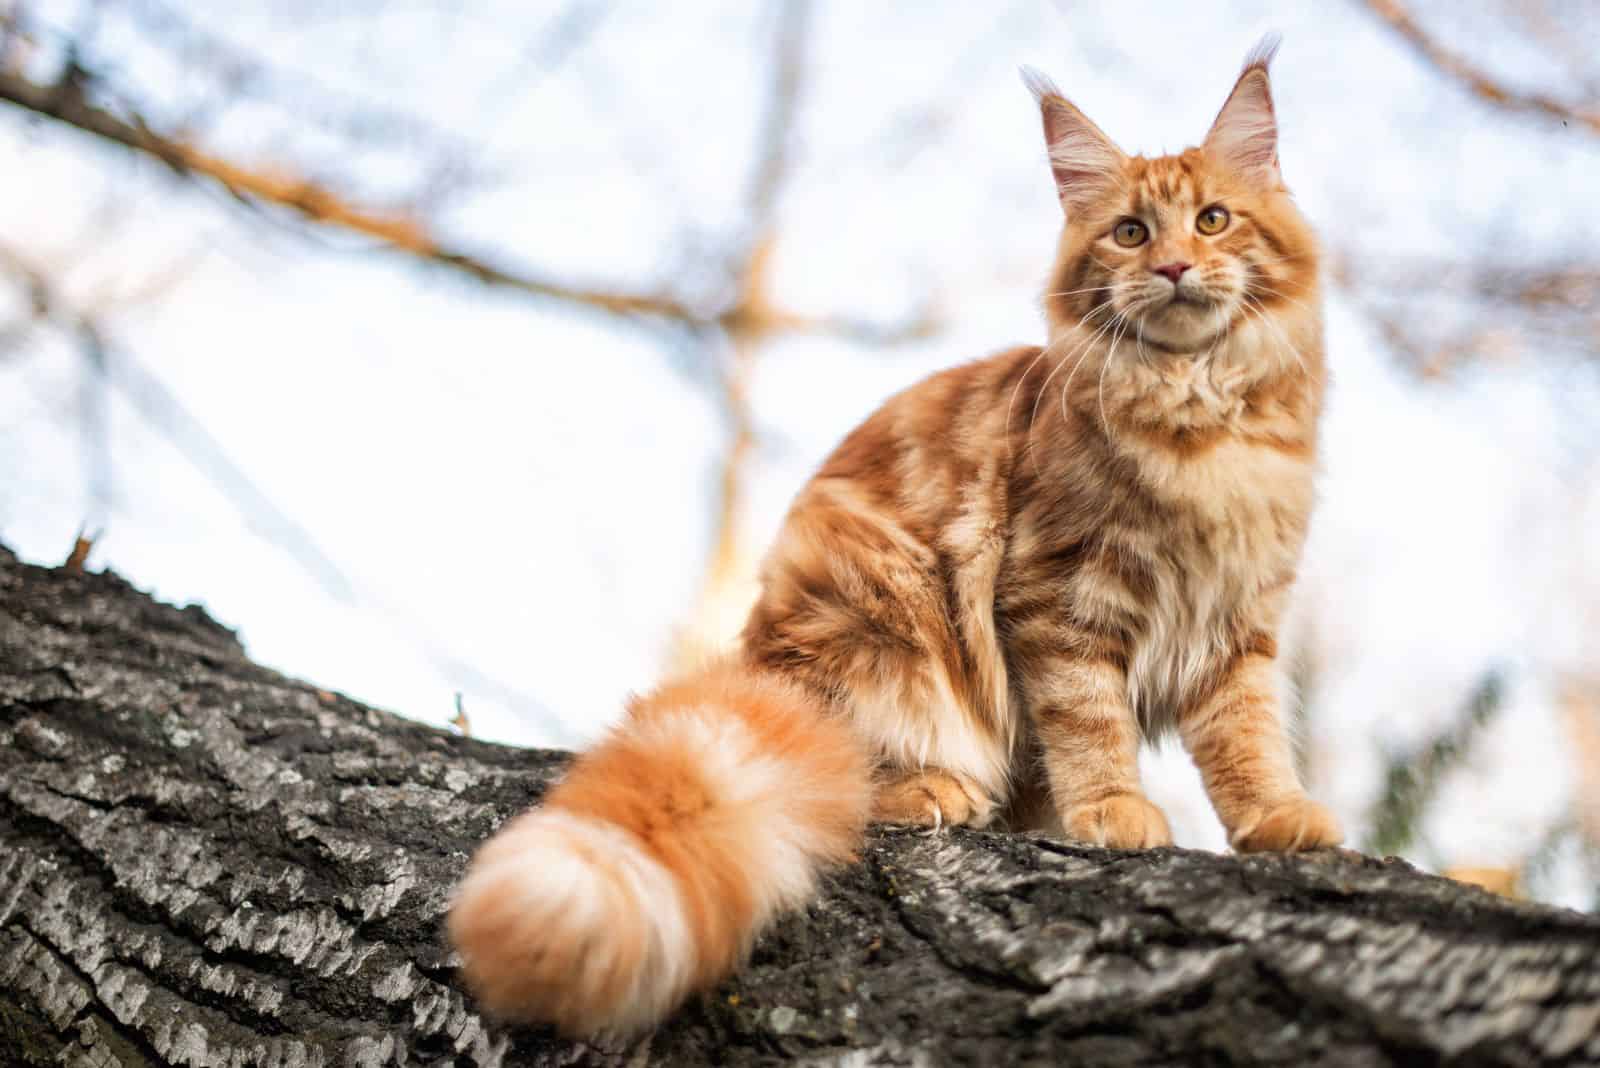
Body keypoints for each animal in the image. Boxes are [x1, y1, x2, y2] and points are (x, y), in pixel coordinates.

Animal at [448, 37, 1337, 1036]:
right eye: (1131, 234)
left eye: (1213, 221)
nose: (1178, 267)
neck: (1201, 423)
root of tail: (757, 664)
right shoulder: (1056, 597)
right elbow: (1090, 722)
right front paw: (1113, 807)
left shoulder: (1242, 620)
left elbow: (1247, 736)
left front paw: (1278, 817)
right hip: (881, 599)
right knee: (853, 768)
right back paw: (937, 790)